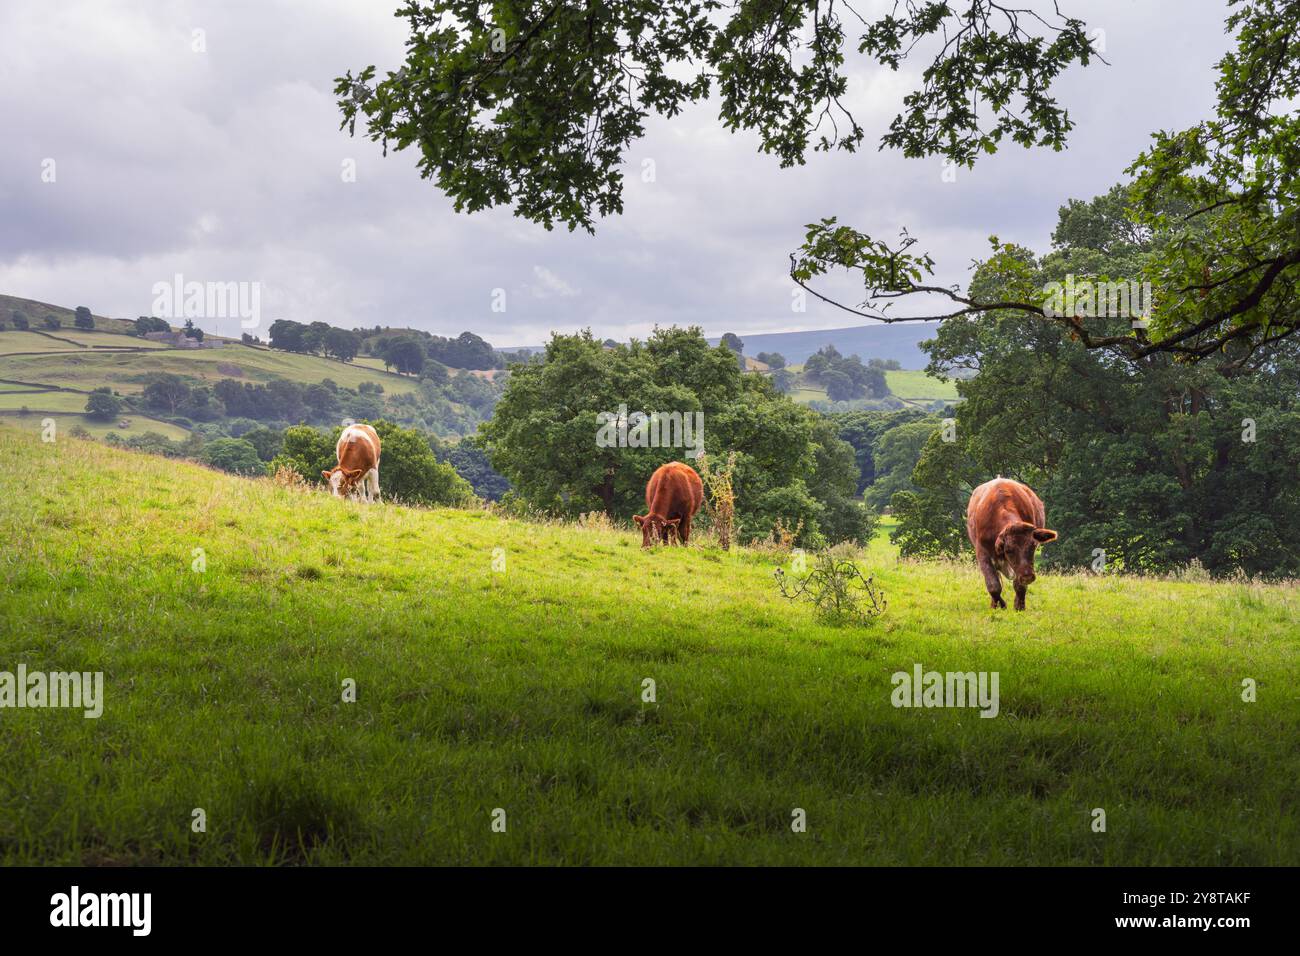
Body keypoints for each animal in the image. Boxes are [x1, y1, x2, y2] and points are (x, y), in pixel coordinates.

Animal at [967, 478, 1055, 613]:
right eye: (1008, 550)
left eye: (1033, 547)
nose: (1027, 576)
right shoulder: (982, 552)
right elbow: (993, 584)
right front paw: (1000, 605)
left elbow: (1019, 585)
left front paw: (1019, 606)